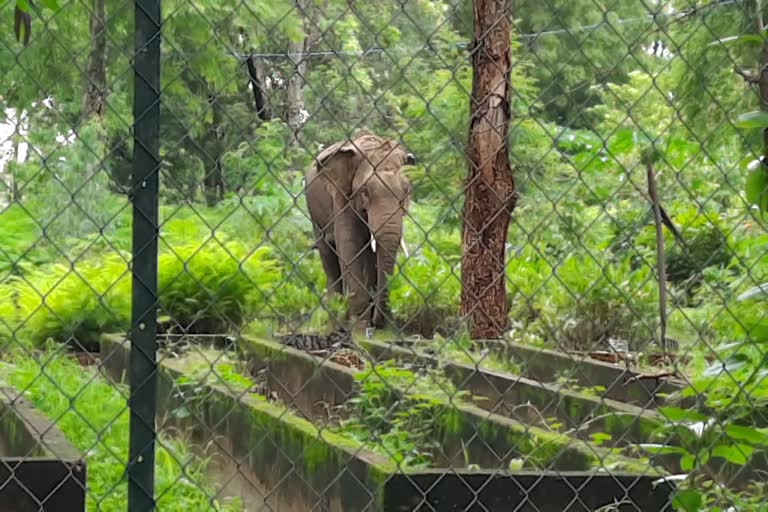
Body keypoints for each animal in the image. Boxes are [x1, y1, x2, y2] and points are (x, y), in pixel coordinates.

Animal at [305, 130, 415, 329]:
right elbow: (349, 244)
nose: (378, 323)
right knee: (329, 257)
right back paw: (336, 320)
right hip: (315, 217)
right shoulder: (342, 195)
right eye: (365, 191)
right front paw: (360, 324)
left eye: (406, 192)